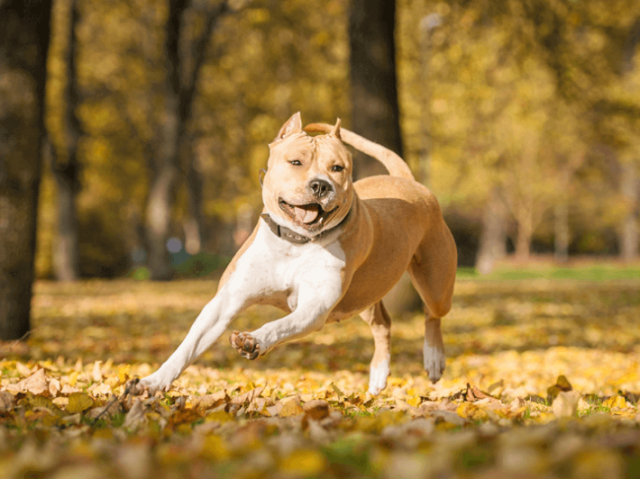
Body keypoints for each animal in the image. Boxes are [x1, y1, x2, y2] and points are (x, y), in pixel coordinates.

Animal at [136, 114, 456, 396]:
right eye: (295, 162)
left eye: (337, 168)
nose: (320, 185)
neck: (295, 242)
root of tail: (408, 181)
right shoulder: (226, 301)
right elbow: (188, 346)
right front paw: (154, 381)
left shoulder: (314, 306)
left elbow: (279, 325)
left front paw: (254, 340)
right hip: (364, 293)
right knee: (383, 323)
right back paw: (378, 374)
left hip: (435, 285)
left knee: (432, 315)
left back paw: (433, 358)